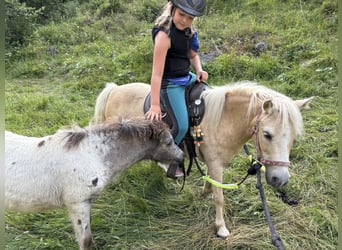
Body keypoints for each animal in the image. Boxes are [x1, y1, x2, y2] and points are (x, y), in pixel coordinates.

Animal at [4, 117, 184, 250]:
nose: (182, 157)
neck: (92, 154)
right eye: (168, 142)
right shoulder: (78, 203)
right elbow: (85, 240)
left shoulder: (87, 203)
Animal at [92, 81, 312, 238]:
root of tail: (114, 90)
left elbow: (210, 184)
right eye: (267, 134)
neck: (223, 120)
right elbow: (219, 196)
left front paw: (205, 193)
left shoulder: (213, 163)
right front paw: (221, 228)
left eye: (293, 137)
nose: (280, 180)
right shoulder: (216, 165)